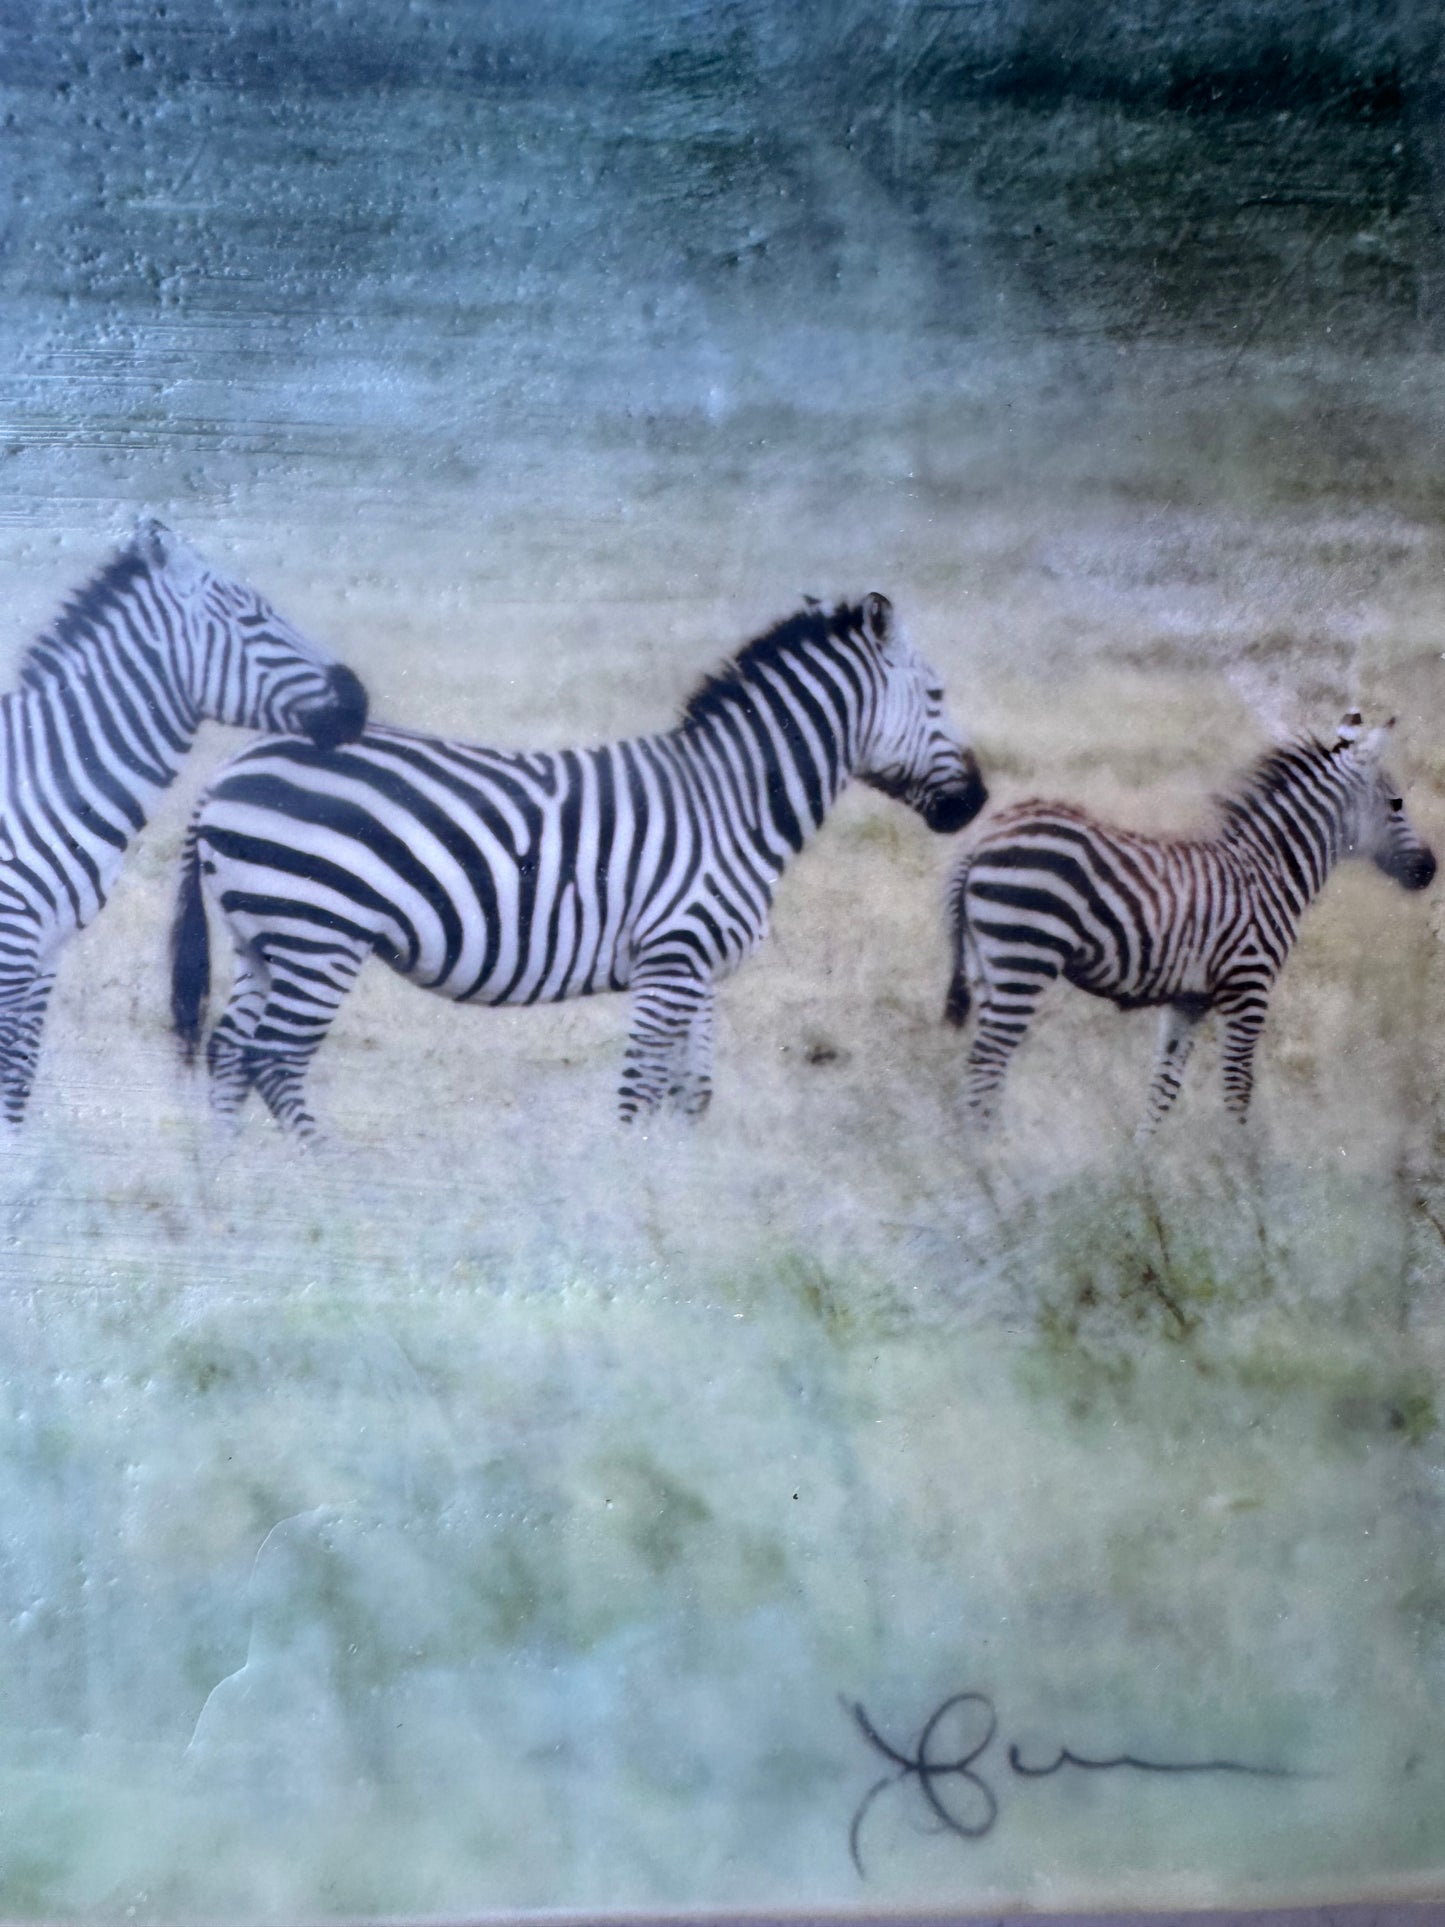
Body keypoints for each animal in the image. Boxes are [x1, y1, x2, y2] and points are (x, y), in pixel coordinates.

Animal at [0, 518, 367, 1124]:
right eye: (253, 619)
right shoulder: (11, 940)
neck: (47, 779)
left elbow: (18, 1078)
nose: (358, 699)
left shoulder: (47, 950)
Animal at [171, 592, 987, 1138]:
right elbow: (637, 1089)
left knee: (230, 1054)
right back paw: (322, 1175)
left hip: (260, 937)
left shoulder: (696, 968)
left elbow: (691, 1093)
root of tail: (228, 772)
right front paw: (627, 1191)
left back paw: (229, 1182)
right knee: (274, 1060)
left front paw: (677, 1193)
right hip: (320, 931)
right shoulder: (671, 957)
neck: (735, 803)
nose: (976, 802)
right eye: (938, 694)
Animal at [944, 712, 1435, 1133]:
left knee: (982, 1069)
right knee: (986, 1066)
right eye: (1396, 804)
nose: (1430, 869)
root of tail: (980, 842)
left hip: (987, 965)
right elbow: (1238, 1089)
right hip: (1024, 958)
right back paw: (993, 1163)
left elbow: (1163, 1088)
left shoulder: (1188, 1000)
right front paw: (1244, 1178)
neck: (1268, 872)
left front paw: (1142, 1169)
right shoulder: (1248, 989)